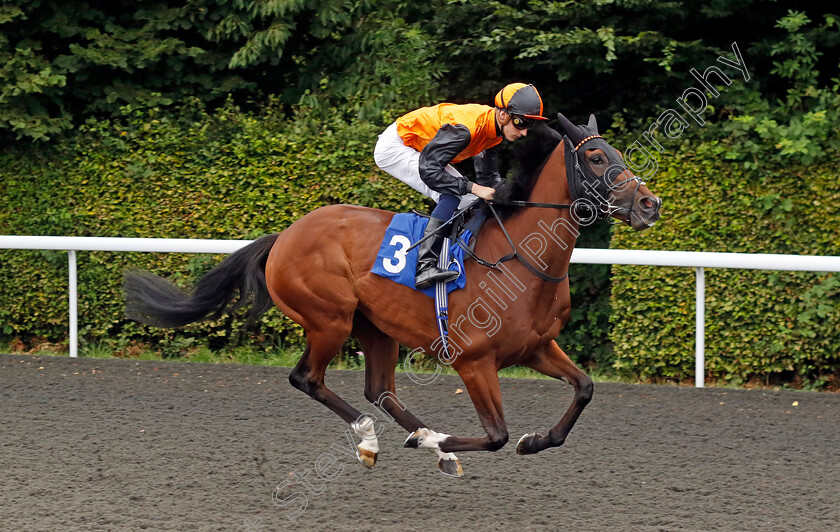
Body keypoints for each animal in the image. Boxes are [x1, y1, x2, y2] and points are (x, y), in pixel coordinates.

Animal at [124, 112, 664, 478]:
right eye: (596, 157)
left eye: (617, 152)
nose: (649, 203)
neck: (520, 257)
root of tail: (285, 235)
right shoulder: (473, 360)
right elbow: (496, 436)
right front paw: (454, 440)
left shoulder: (536, 346)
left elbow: (584, 388)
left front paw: (534, 441)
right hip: (330, 319)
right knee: (308, 379)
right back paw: (377, 440)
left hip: (375, 327)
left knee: (379, 389)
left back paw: (426, 440)